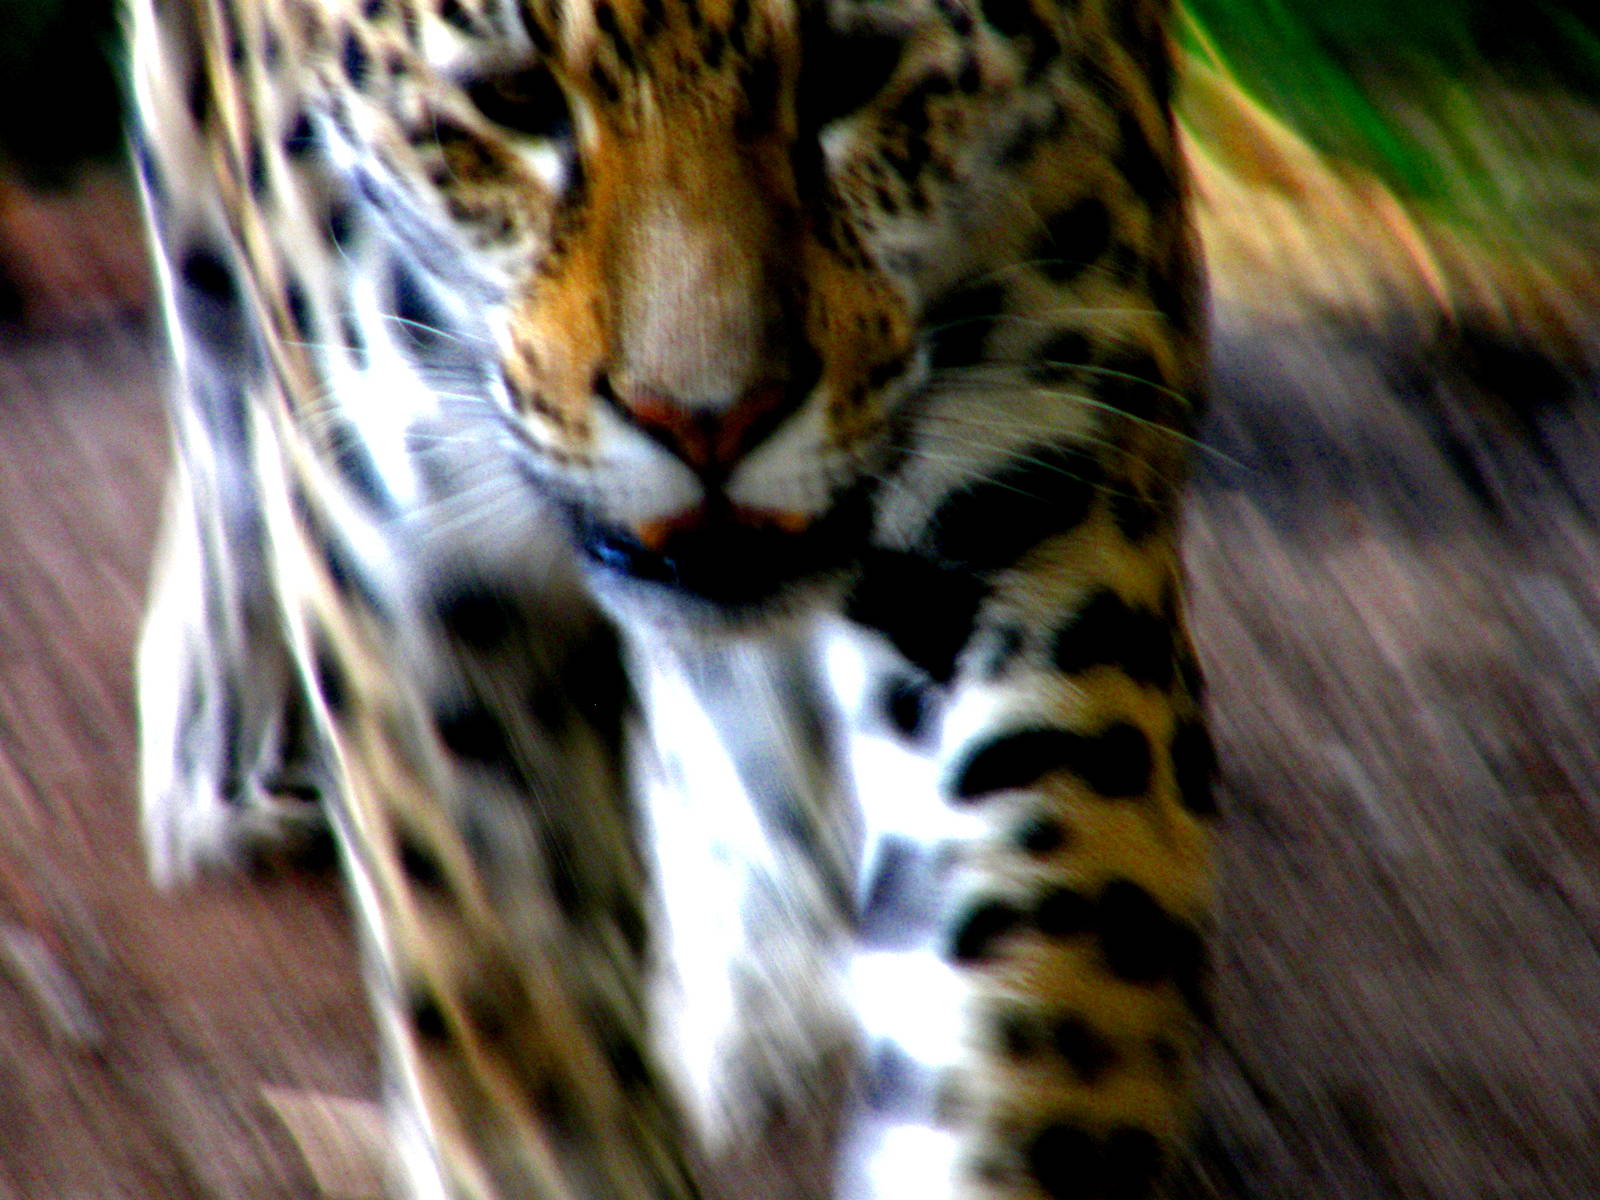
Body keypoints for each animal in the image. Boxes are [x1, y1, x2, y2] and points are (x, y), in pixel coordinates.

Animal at [127, 0, 1215, 1195]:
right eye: (515, 100)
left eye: (853, 70)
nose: (709, 423)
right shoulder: (413, 556)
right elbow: (504, 979)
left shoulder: (1029, 509)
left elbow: (1042, 988)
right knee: (203, 336)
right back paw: (226, 737)